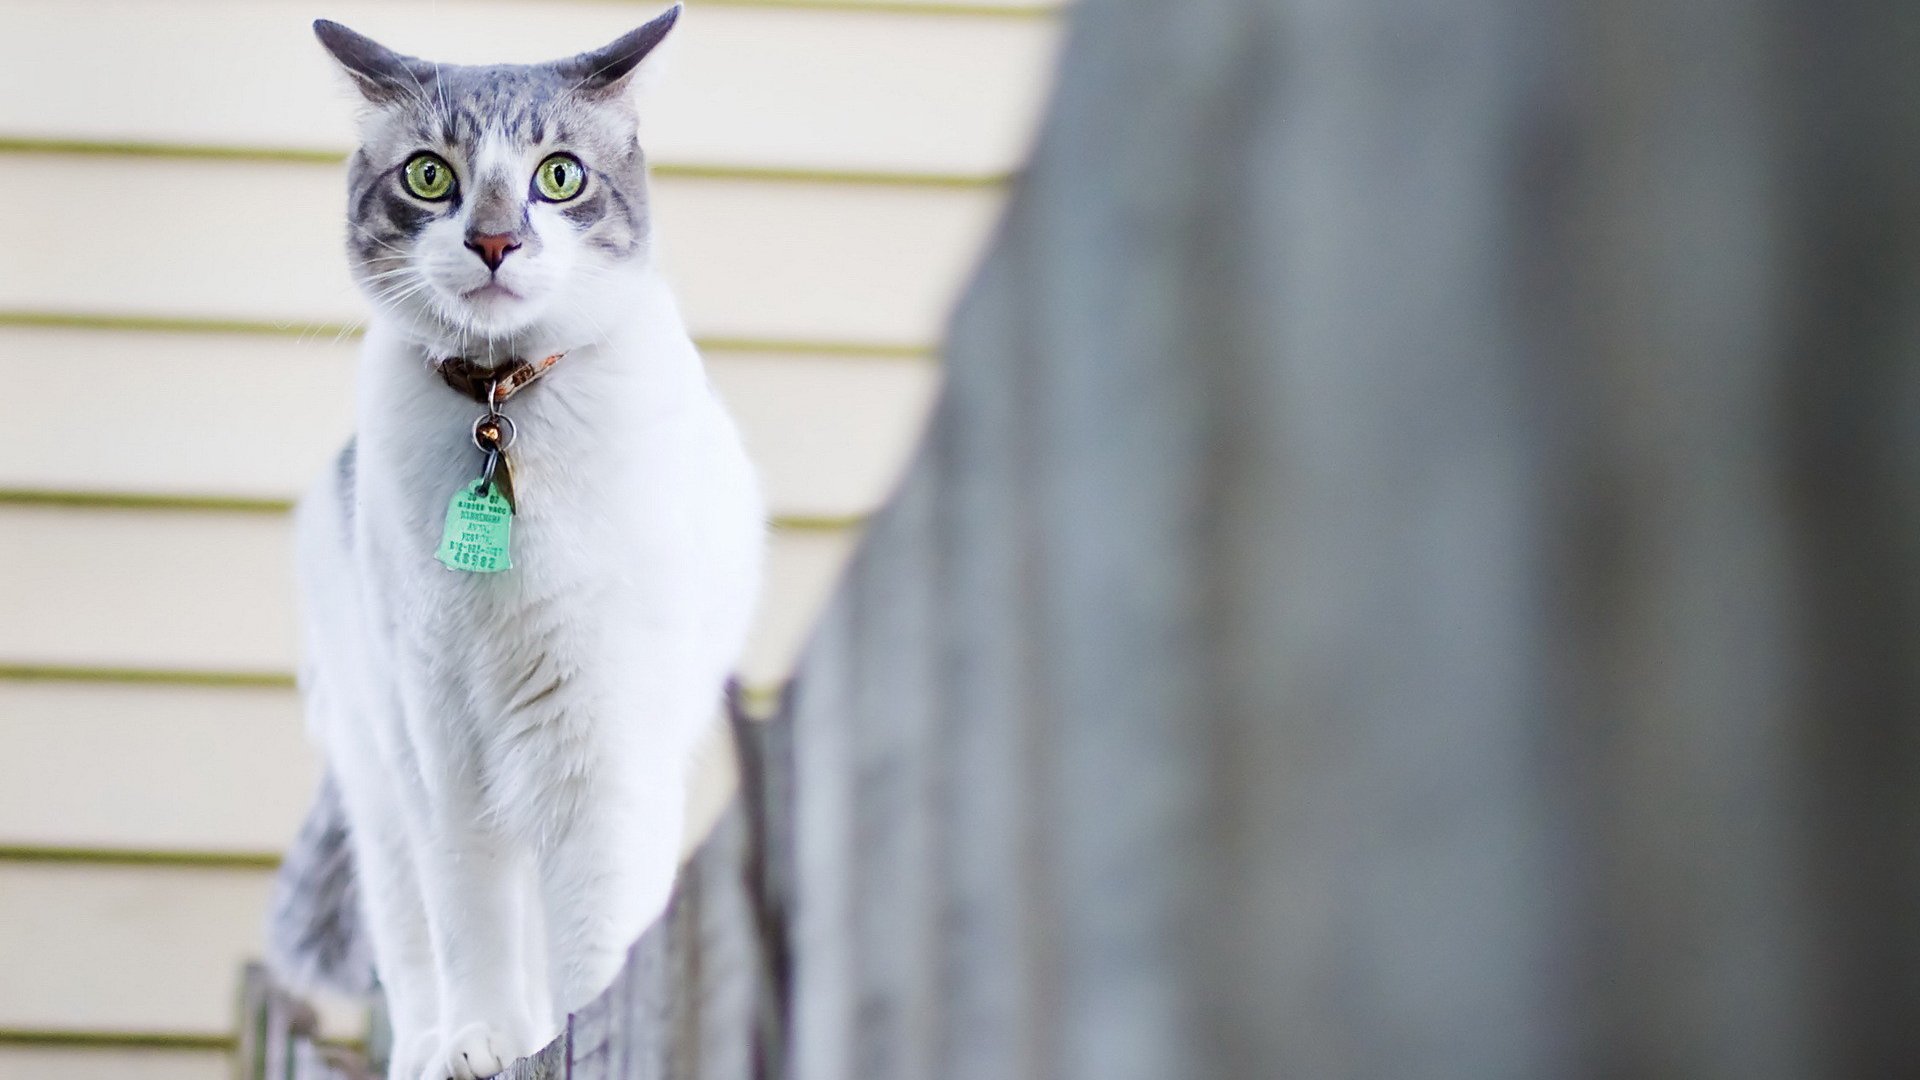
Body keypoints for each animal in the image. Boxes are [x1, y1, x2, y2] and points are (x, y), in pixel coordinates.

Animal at [270, 10, 764, 1076]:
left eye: (559, 176)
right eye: (429, 176)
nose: (495, 240)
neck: (500, 408)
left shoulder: (601, 732)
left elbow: (597, 922)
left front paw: (584, 1033)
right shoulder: (441, 735)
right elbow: (470, 916)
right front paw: (482, 1041)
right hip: (380, 775)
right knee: (412, 942)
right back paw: (429, 1047)